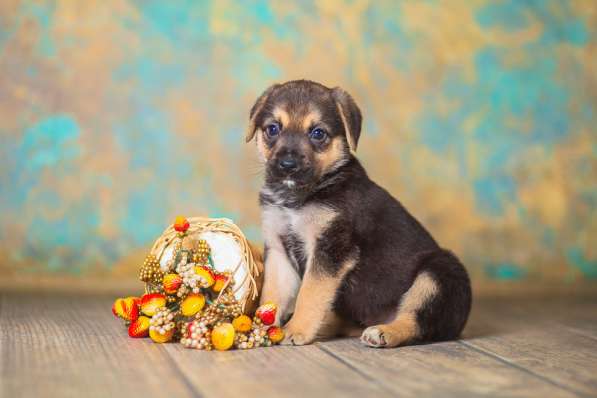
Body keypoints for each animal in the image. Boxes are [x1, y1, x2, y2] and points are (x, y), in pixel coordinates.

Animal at [244, 79, 472, 346]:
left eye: (318, 133)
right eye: (272, 129)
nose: (287, 166)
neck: (299, 198)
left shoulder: (331, 250)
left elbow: (309, 293)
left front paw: (295, 329)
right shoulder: (279, 249)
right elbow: (271, 296)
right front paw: (259, 329)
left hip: (440, 272)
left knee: (417, 322)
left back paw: (384, 332)